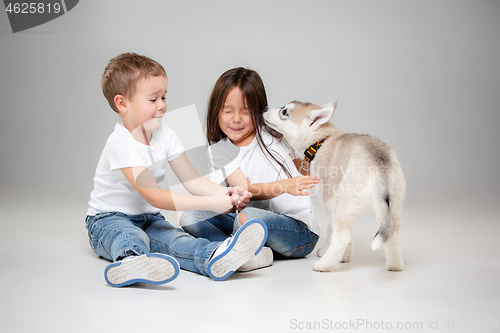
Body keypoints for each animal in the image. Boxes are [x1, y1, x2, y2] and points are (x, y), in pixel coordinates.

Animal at [264, 100, 404, 270]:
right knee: (393, 235)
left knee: (343, 237)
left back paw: (323, 265)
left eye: (284, 112)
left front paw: (333, 253)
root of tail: (379, 161)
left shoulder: (330, 200)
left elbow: (331, 229)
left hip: (344, 202)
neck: (320, 141)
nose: (265, 108)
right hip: (393, 206)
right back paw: (395, 266)